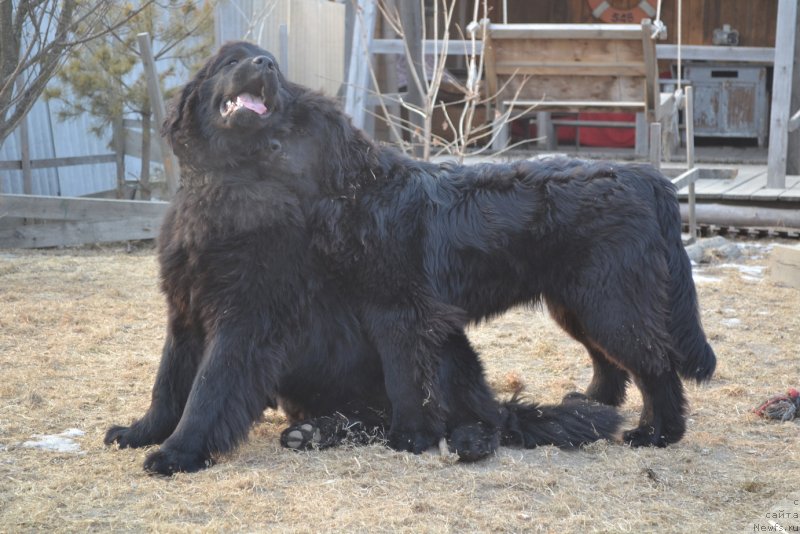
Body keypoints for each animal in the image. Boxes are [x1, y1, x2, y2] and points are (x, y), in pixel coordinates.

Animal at [103, 43, 716, 478]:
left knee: (649, 366)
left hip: (608, 299)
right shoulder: (187, 314)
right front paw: (142, 432)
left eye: (293, 122)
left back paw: (655, 434)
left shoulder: (378, 312)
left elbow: (212, 390)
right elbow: (168, 384)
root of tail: (646, 176)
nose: (266, 64)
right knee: (607, 364)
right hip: (579, 303)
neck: (354, 195)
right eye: (231, 62)